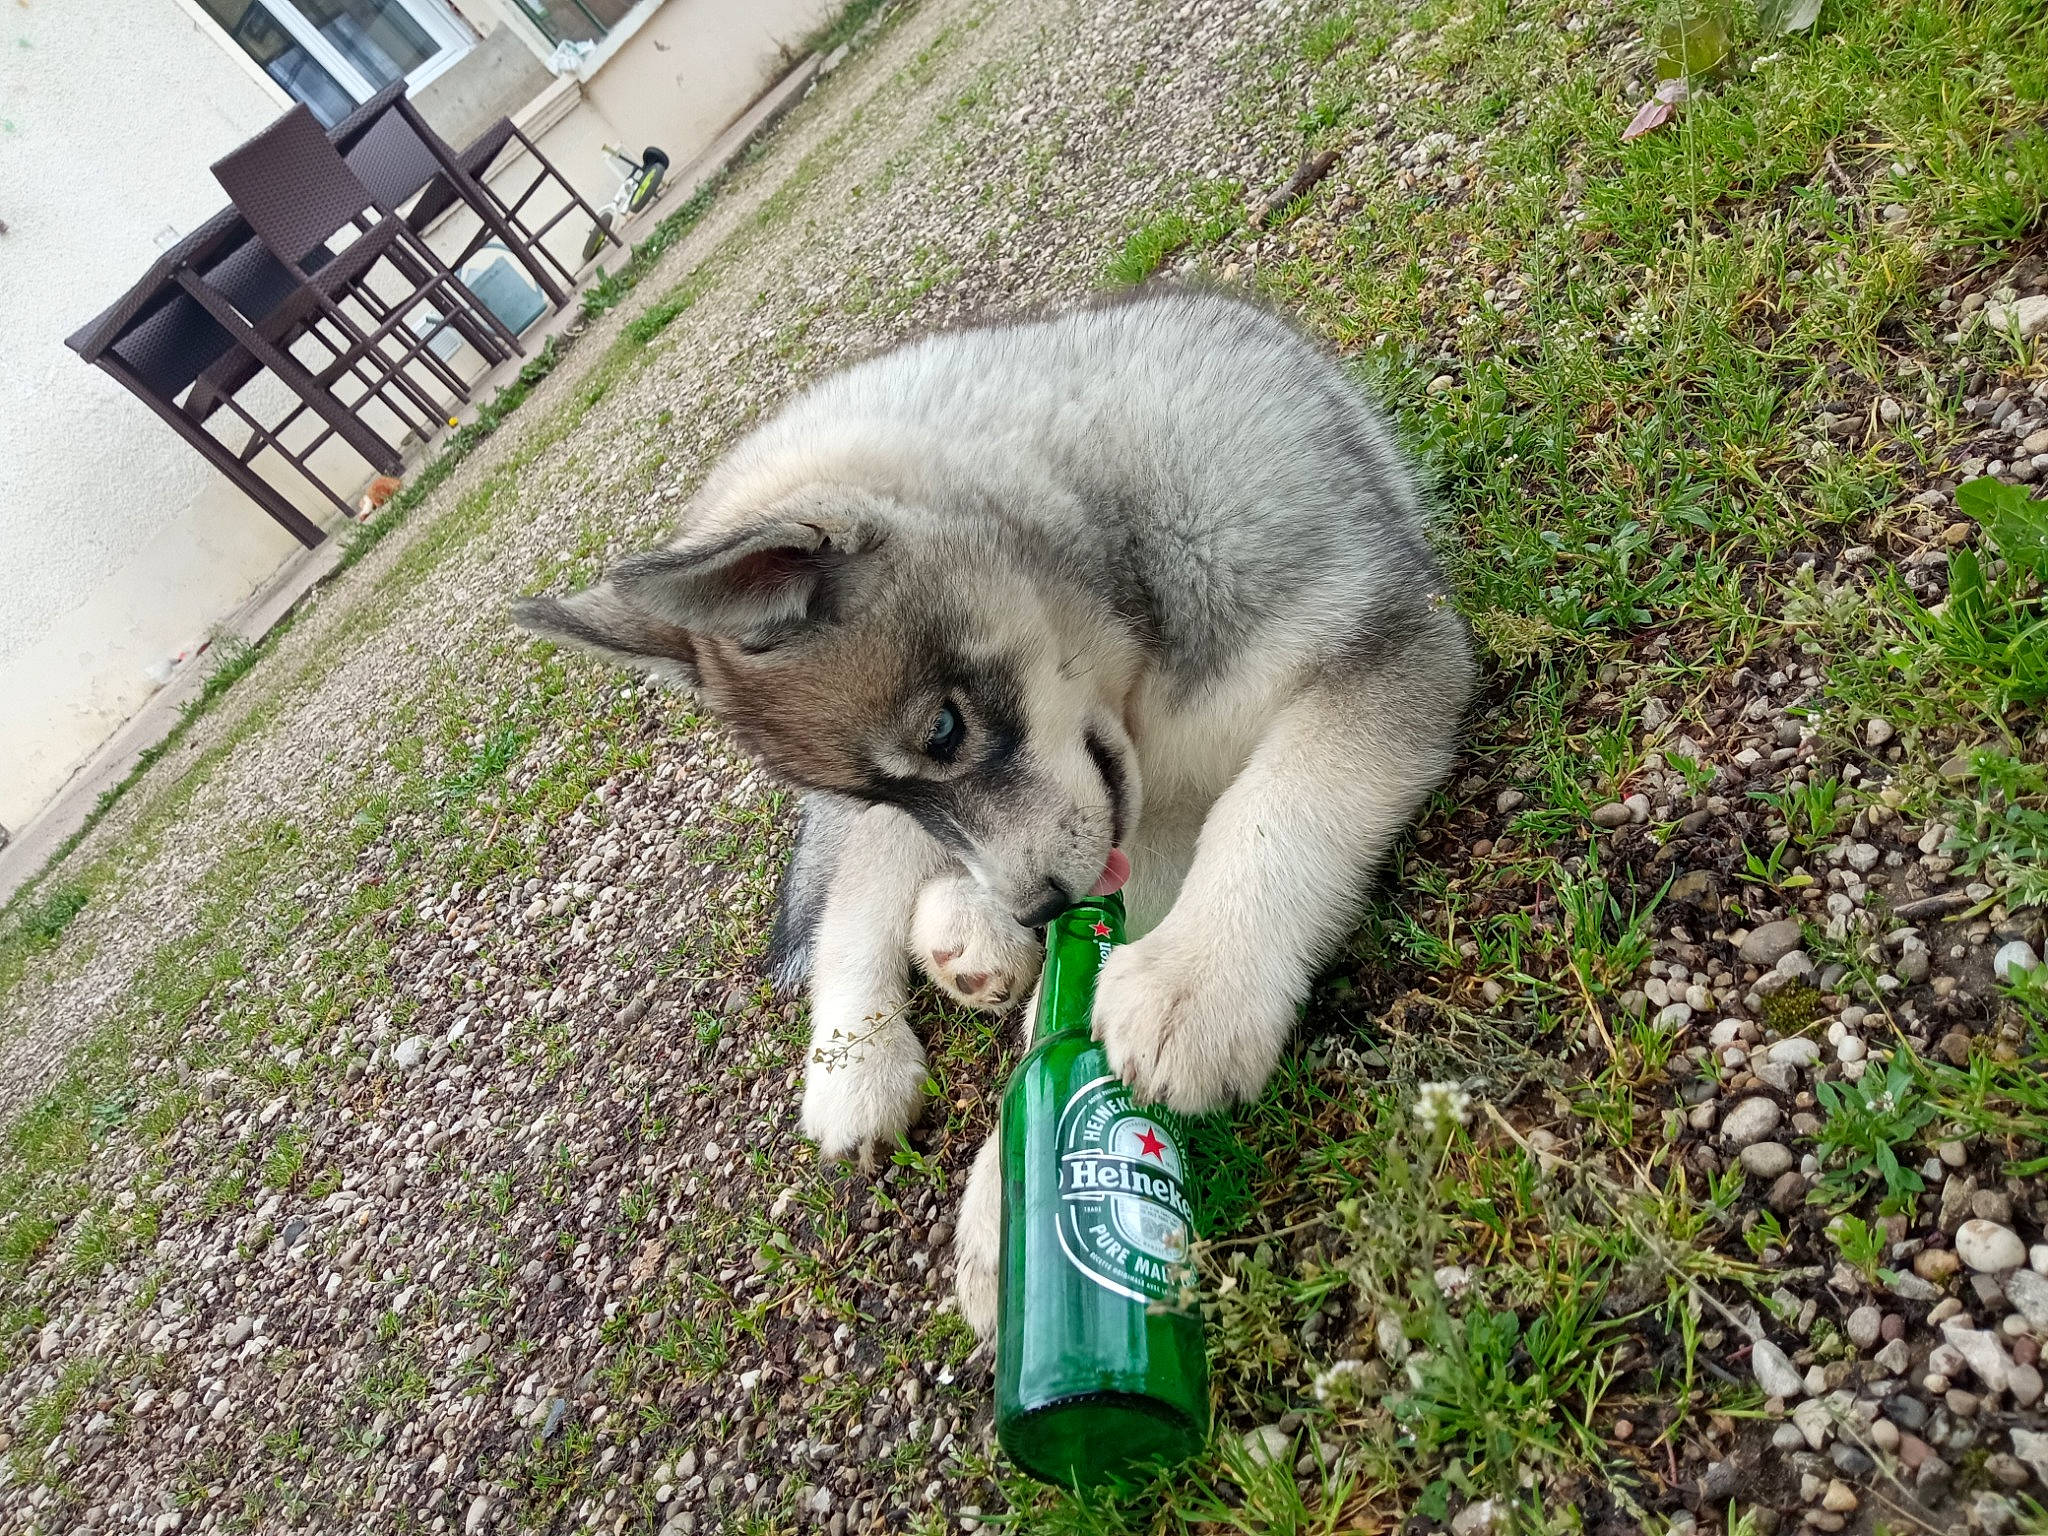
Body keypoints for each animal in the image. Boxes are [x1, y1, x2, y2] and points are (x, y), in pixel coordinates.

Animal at [510, 289, 1474, 1334]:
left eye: (944, 729)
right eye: (898, 771)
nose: (1041, 908)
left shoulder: (1388, 651)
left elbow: (1275, 804)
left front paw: (1196, 979)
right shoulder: (1103, 824)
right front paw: (1013, 1201)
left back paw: (972, 936)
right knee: (856, 904)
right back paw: (865, 1056)